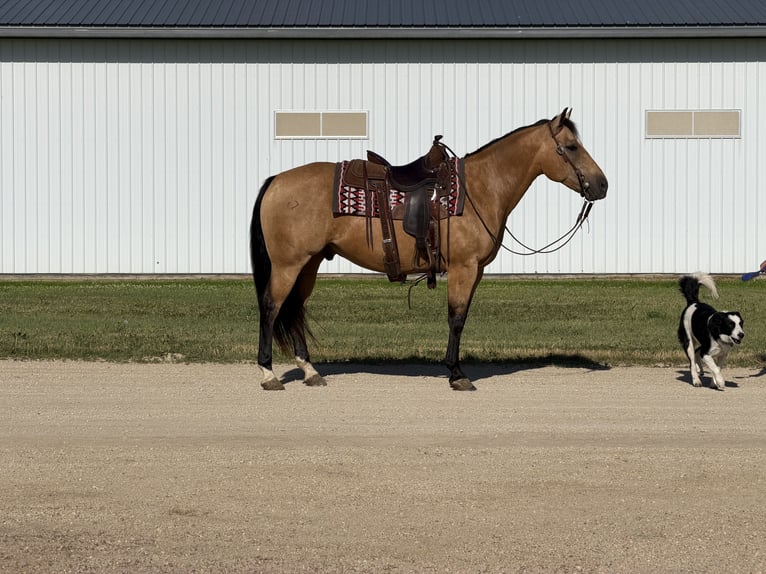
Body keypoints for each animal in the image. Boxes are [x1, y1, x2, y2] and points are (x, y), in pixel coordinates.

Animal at [250, 108, 608, 391]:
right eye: (572, 147)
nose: (602, 184)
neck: (481, 188)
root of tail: (276, 180)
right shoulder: (464, 268)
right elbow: (456, 318)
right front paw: (456, 374)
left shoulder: (475, 271)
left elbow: (460, 317)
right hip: (288, 264)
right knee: (271, 307)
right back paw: (268, 374)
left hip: (308, 263)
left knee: (295, 308)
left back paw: (311, 372)